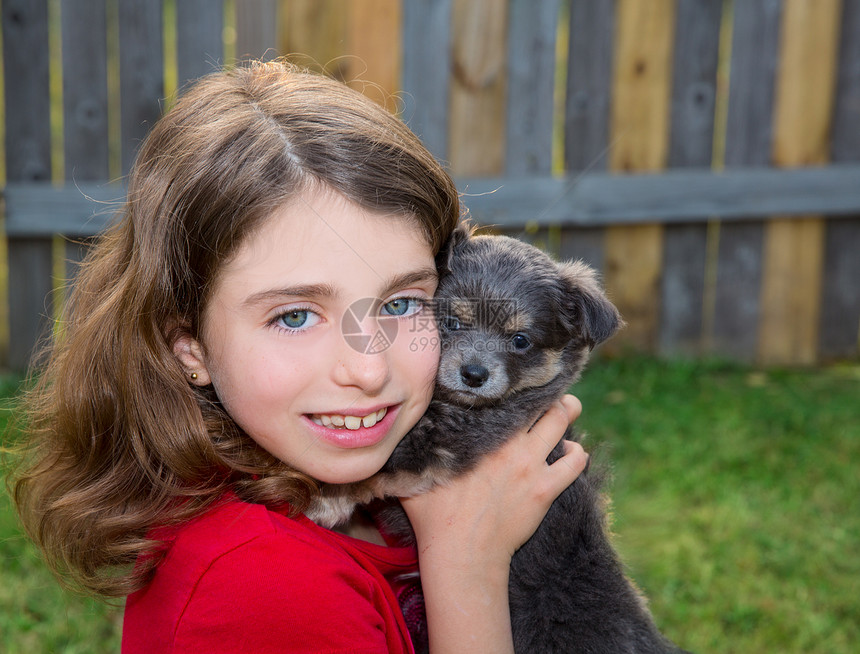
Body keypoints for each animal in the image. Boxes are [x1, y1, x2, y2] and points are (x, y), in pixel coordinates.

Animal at [306, 228, 688, 652]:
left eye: (520, 340)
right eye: (452, 323)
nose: (474, 374)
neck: (457, 405)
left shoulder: (452, 441)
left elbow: (381, 461)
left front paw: (322, 499)